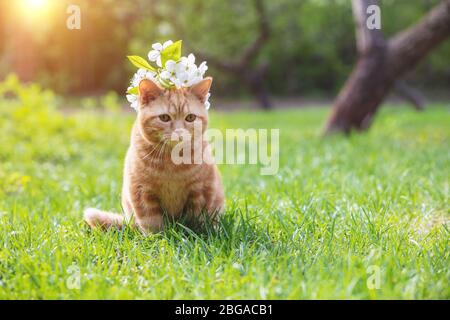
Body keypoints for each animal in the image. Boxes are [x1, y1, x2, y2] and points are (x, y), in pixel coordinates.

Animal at [83, 77, 224, 232]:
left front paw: (198, 234)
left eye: (190, 118)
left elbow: (198, 219)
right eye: (164, 118)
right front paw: (158, 237)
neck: (172, 163)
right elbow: (151, 222)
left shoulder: (201, 190)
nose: (179, 133)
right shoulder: (142, 192)